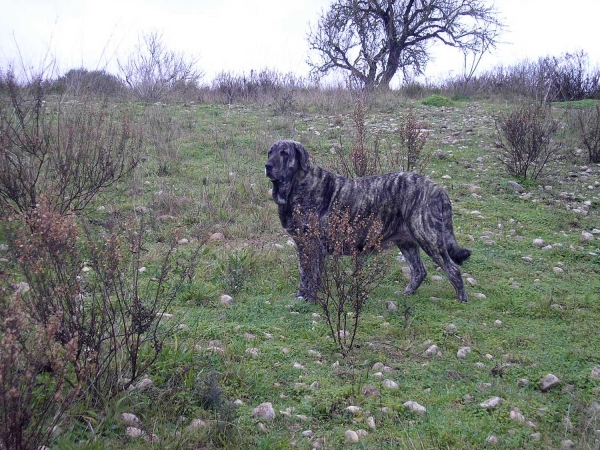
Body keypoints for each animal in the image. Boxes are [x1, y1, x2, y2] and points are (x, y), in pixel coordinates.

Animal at [264, 141, 472, 302]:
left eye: (284, 153)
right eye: (270, 152)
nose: (267, 165)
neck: (297, 185)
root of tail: (438, 189)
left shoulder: (314, 245)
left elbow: (312, 275)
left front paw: (311, 299)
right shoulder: (302, 245)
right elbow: (303, 273)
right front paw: (301, 296)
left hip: (429, 239)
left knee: (453, 270)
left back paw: (462, 299)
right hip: (406, 241)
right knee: (419, 271)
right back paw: (407, 293)